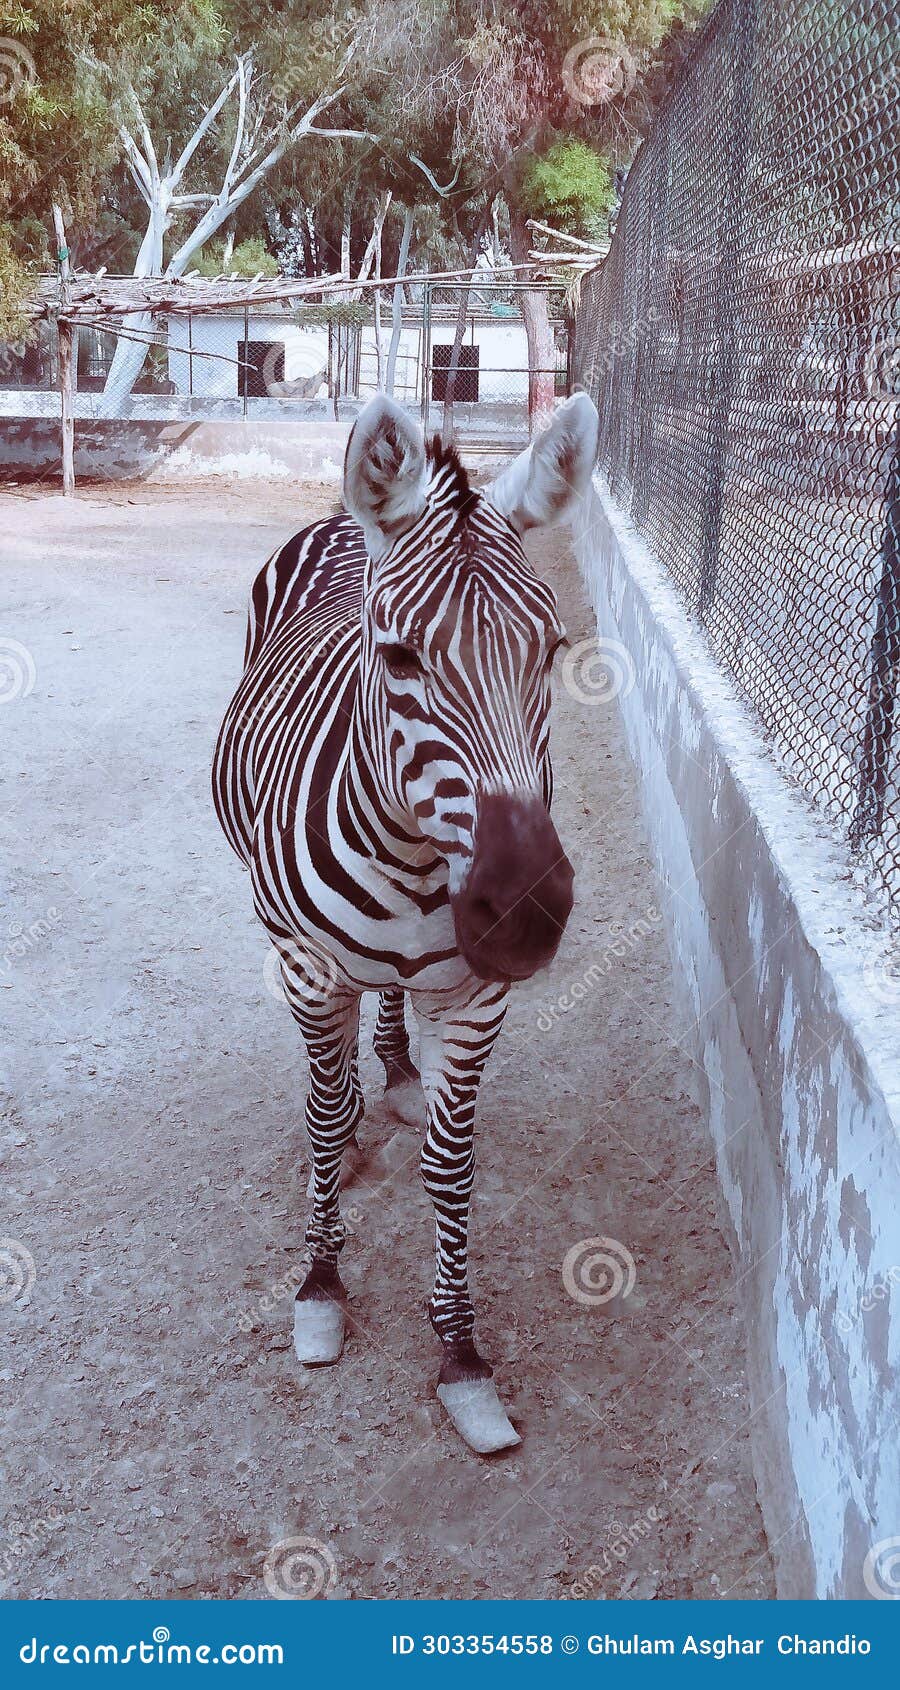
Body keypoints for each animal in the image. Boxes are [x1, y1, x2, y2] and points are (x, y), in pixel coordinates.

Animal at [211, 392, 597, 1453]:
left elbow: (452, 1169)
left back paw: (389, 1068)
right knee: (329, 1069)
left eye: (551, 652)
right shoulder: (308, 968)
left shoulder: (479, 999)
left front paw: (461, 1354)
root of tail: (352, 521)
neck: (422, 866)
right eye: (397, 656)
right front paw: (320, 1286)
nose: (523, 914)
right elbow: (317, 1117)